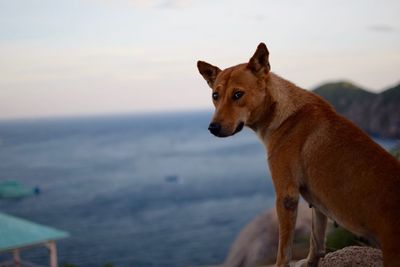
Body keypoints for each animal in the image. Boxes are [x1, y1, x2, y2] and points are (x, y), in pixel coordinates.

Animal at [197, 43, 400, 266]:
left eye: (237, 94)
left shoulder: (286, 197)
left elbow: (284, 250)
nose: (213, 128)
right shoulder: (318, 203)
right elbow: (316, 241)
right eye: (215, 96)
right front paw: (310, 262)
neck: (284, 114)